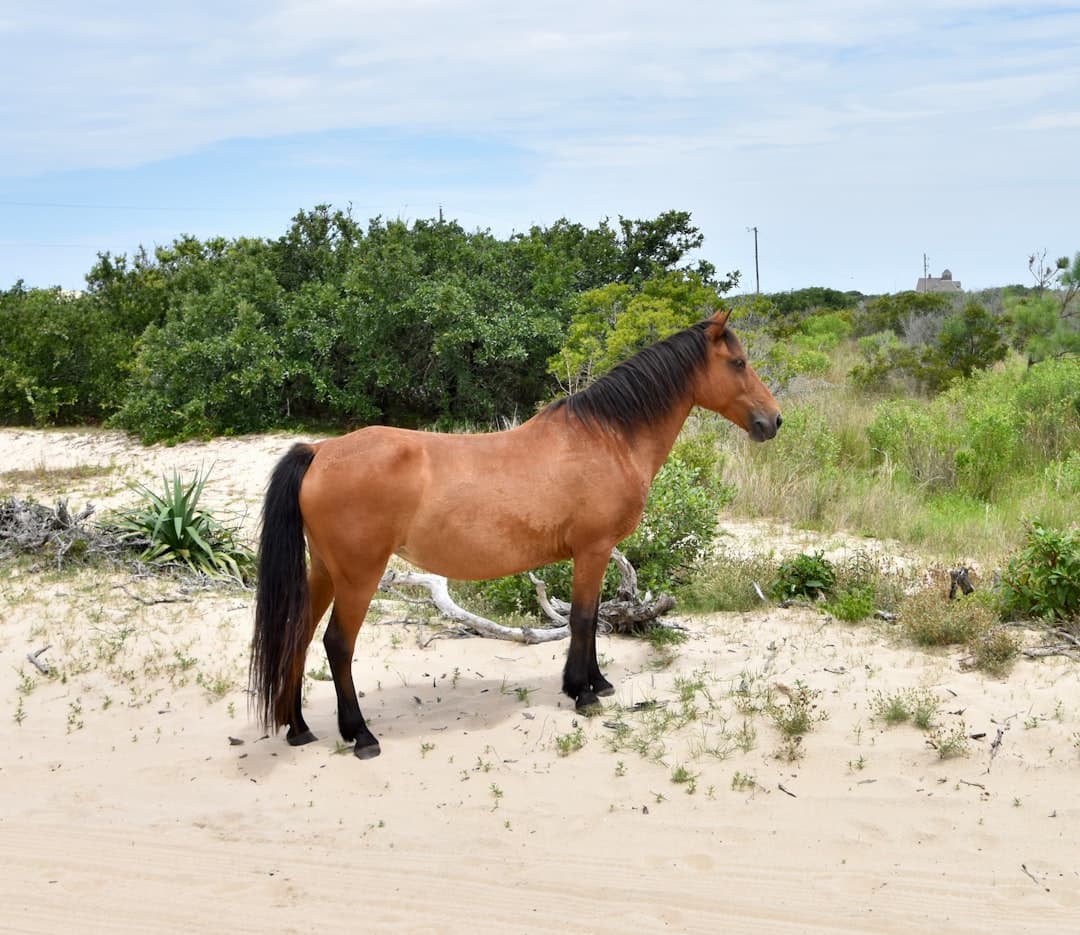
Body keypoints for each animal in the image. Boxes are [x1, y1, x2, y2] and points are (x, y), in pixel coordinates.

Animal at [250, 308, 780, 759]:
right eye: (738, 362)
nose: (773, 420)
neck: (606, 437)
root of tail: (320, 451)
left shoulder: (591, 553)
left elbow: (588, 619)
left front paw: (596, 683)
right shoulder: (593, 550)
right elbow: (583, 619)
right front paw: (583, 693)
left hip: (324, 570)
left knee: (298, 635)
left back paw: (299, 728)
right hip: (358, 577)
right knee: (337, 645)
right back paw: (360, 735)